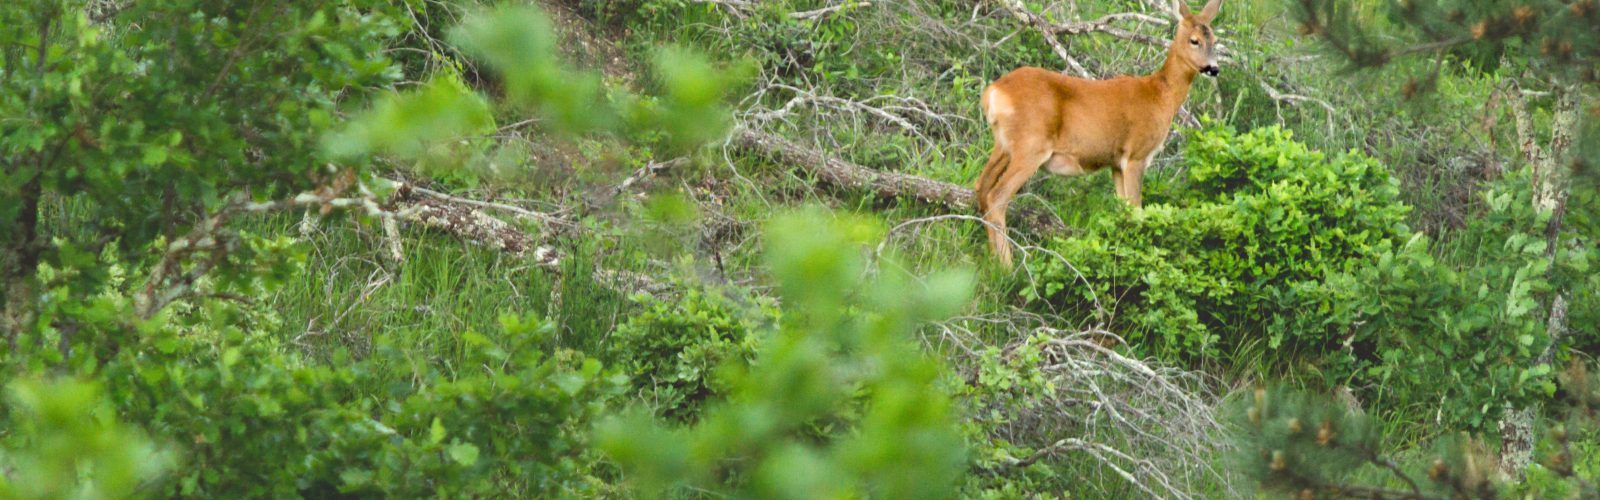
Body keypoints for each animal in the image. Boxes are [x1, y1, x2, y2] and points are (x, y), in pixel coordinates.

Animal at [974, 0, 1223, 267]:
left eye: (1215, 39)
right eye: (1194, 40)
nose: (1214, 68)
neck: (1159, 95)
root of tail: (992, 92)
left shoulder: (1116, 163)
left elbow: (1124, 211)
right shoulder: (1136, 155)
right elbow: (1137, 210)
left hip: (1003, 145)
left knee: (981, 187)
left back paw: (993, 260)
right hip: (1030, 146)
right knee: (997, 197)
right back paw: (1008, 266)